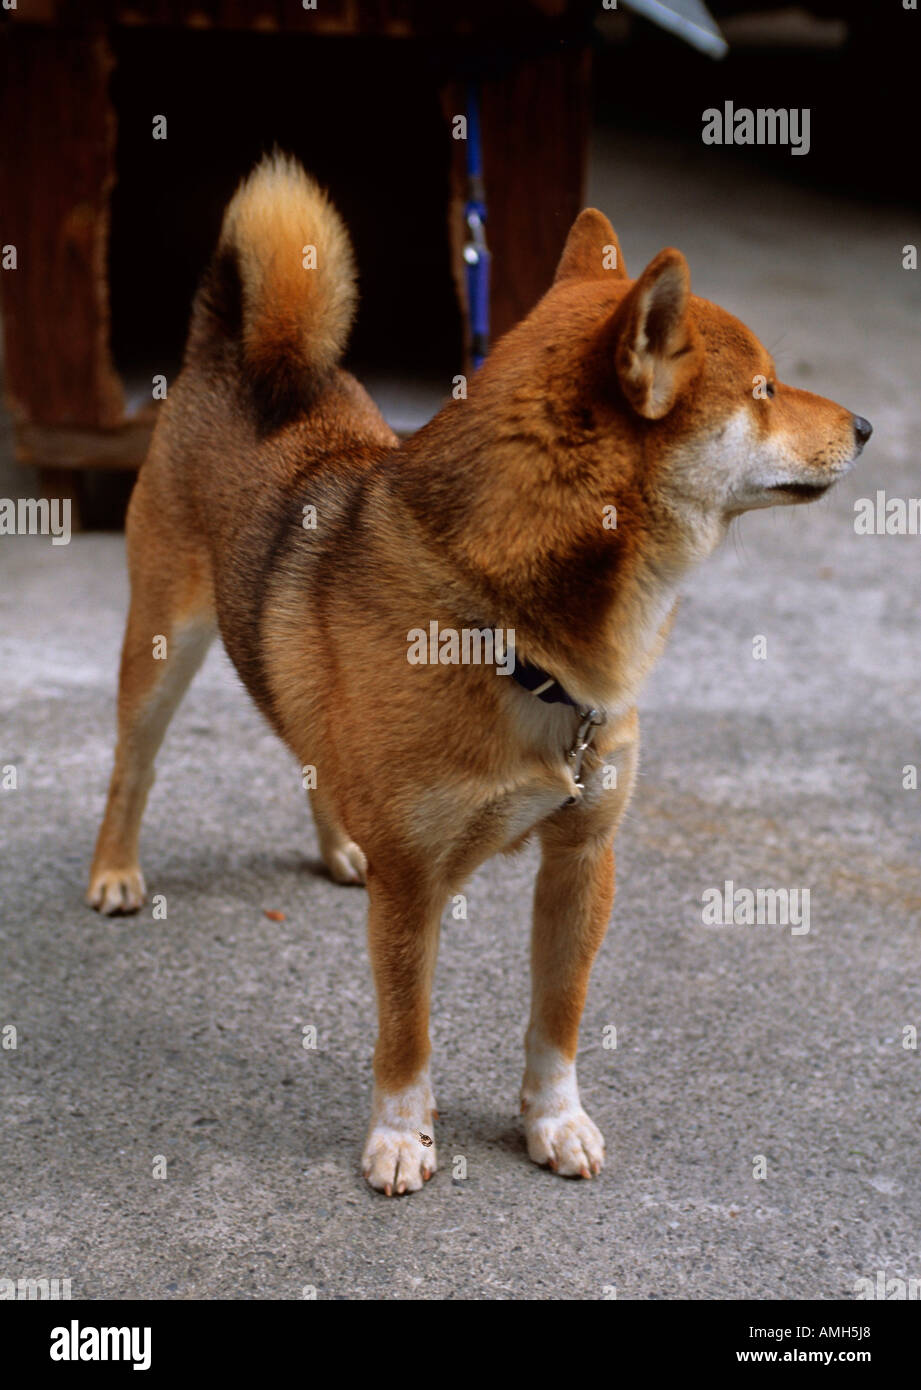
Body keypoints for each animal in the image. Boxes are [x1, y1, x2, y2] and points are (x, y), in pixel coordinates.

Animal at [86, 152, 872, 1195]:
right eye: (764, 390)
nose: (865, 425)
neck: (517, 636)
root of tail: (238, 353)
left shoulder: (582, 860)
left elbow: (557, 1018)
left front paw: (554, 1121)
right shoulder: (416, 885)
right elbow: (407, 1030)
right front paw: (400, 1134)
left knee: (312, 750)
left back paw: (339, 846)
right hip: (161, 647)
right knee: (133, 766)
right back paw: (116, 871)